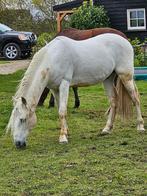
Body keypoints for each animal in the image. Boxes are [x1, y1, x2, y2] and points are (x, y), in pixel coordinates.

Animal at [6, 34, 145, 149]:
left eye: (22, 119)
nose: (18, 144)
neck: (52, 58)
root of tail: (125, 41)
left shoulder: (64, 84)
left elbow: (62, 111)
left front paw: (62, 137)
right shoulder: (55, 89)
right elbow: (59, 109)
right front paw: (66, 132)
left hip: (125, 76)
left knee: (135, 99)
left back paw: (140, 126)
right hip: (108, 79)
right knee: (114, 102)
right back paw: (107, 129)